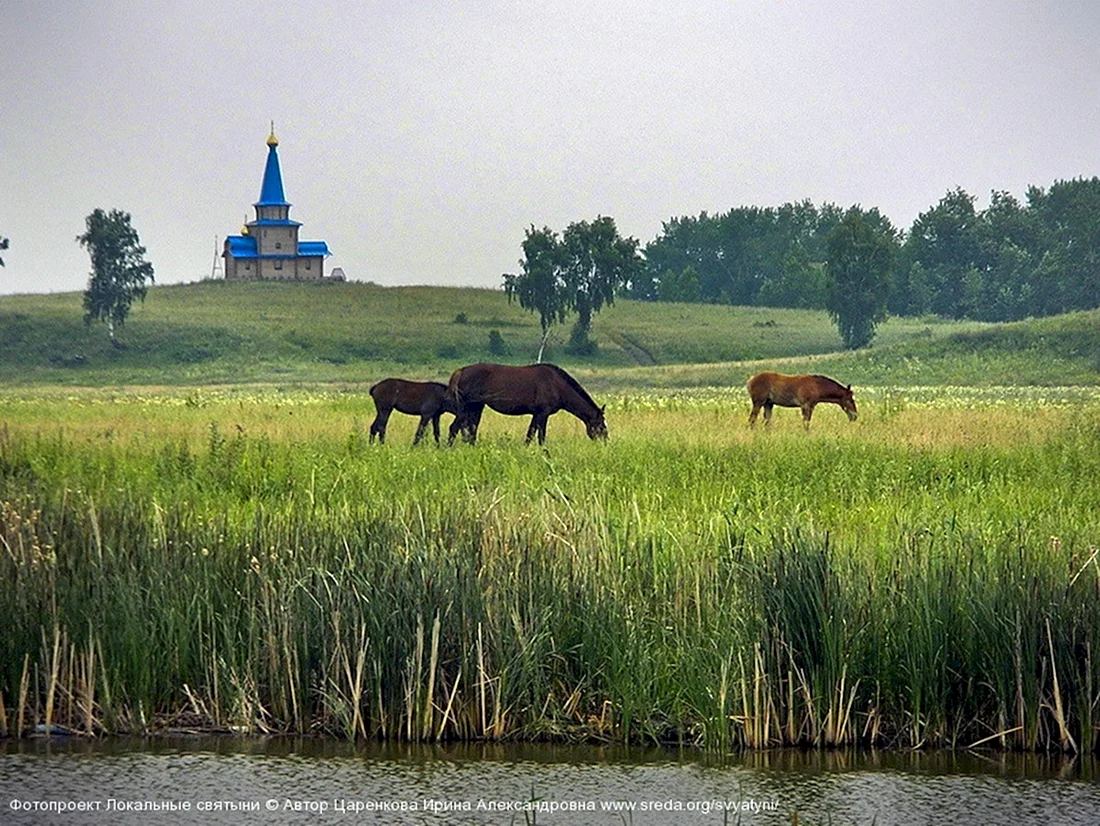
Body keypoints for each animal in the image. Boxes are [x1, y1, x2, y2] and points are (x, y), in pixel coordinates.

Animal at [445, 362, 608, 445]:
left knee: (471, 429)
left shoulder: (537, 415)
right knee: (454, 428)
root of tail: (461, 371)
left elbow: (533, 434)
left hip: (476, 407)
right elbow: (538, 436)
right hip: (466, 408)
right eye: (601, 425)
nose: (605, 442)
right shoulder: (542, 413)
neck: (556, 384)